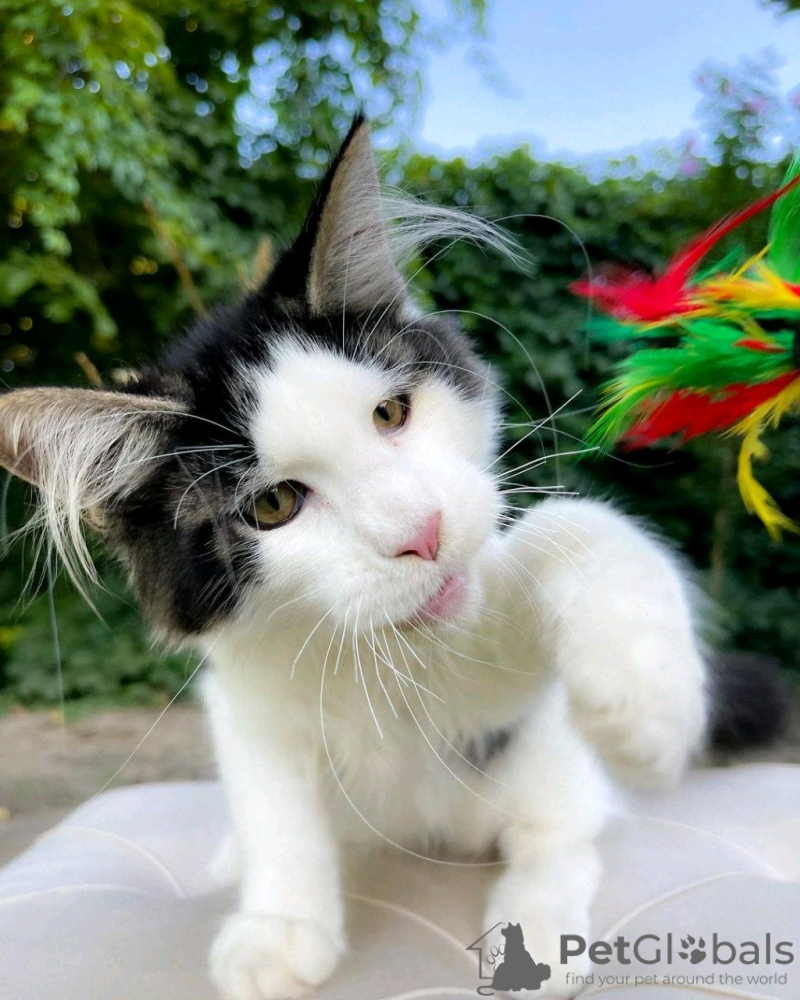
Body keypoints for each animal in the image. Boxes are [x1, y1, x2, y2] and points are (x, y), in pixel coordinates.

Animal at [0, 116, 785, 1000]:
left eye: (392, 413)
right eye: (272, 506)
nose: (425, 532)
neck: (361, 652)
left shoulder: (489, 694)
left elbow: (573, 524)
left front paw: (647, 699)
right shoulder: (245, 696)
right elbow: (274, 808)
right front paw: (280, 925)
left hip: (540, 767)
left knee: (560, 831)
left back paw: (543, 919)